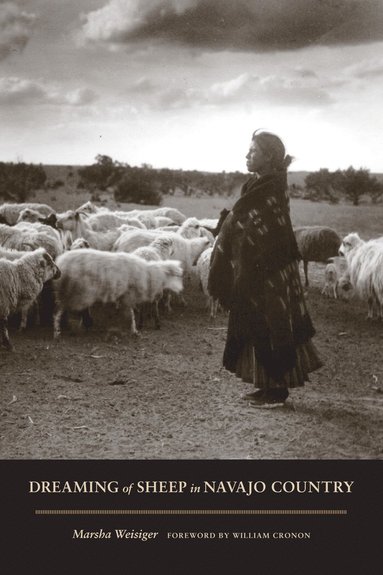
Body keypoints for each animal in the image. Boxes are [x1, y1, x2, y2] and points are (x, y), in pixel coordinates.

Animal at [53, 251, 184, 338]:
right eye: (175, 276)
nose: (159, 296)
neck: (148, 275)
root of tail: (62, 262)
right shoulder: (128, 296)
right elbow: (131, 314)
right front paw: (134, 330)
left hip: (71, 293)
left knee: (66, 309)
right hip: (77, 292)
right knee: (66, 310)